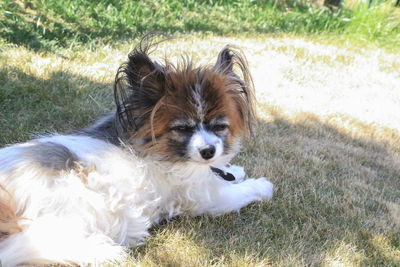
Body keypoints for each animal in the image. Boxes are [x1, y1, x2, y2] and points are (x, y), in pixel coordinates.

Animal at [0, 36, 274, 266]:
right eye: (182, 128)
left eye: (219, 126)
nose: (208, 151)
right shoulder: (206, 199)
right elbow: (239, 192)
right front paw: (261, 185)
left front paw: (233, 170)